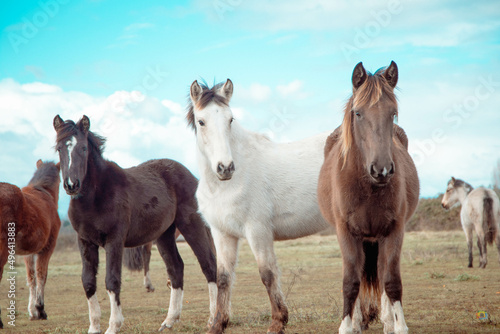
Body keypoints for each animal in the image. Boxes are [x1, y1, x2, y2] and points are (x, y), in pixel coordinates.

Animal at [0, 160, 61, 328]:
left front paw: (32, 313)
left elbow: (31, 278)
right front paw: (40, 310)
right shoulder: (47, 248)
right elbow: (41, 275)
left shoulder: (29, 252)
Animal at [53, 115, 217, 334]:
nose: (72, 185)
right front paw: (94, 326)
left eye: (83, 148)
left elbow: (112, 280)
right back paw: (169, 320)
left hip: (192, 226)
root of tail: (190, 175)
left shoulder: (114, 241)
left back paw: (213, 319)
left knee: (208, 264)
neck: (96, 196)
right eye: (59, 148)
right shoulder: (85, 241)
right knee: (176, 269)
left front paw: (114, 325)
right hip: (164, 235)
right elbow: (88, 281)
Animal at [188, 79, 332, 334]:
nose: (225, 167)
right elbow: (223, 277)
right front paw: (217, 324)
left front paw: (278, 322)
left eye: (230, 119)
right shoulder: (222, 233)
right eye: (201, 121)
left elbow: (267, 274)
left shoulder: (257, 230)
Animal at [318, 61, 420, 332]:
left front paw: (398, 325)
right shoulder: (346, 232)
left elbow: (391, 281)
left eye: (393, 113)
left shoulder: (394, 230)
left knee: (383, 273)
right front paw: (347, 325)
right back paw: (358, 320)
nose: (381, 170)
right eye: (358, 113)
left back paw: (387, 320)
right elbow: (351, 282)